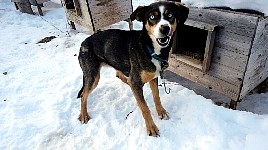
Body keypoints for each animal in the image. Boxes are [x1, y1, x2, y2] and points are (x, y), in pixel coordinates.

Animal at [76, 1, 187, 137]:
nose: (165, 28)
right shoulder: (136, 81)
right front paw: (151, 128)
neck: (150, 48)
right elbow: (145, 108)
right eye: (152, 17)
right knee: (83, 95)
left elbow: (156, 97)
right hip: (93, 77)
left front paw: (161, 112)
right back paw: (83, 115)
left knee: (119, 75)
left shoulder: (153, 77)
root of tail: (83, 43)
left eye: (170, 15)